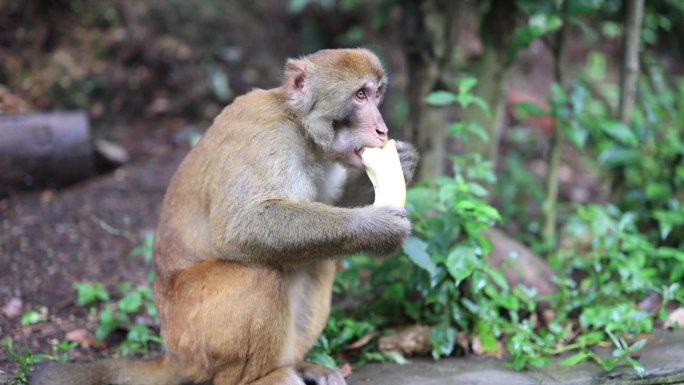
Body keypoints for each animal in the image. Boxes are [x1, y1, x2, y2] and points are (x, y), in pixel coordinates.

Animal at [34, 48, 420, 384]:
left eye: (377, 95)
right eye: (360, 96)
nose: (383, 129)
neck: (299, 127)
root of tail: (172, 356)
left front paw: (403, 161)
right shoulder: (266, 138)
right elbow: (242, 228)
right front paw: (377, 227)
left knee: (318, 258)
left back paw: (297, 364)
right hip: (193, 334)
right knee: (260, 272)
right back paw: (259, 378)